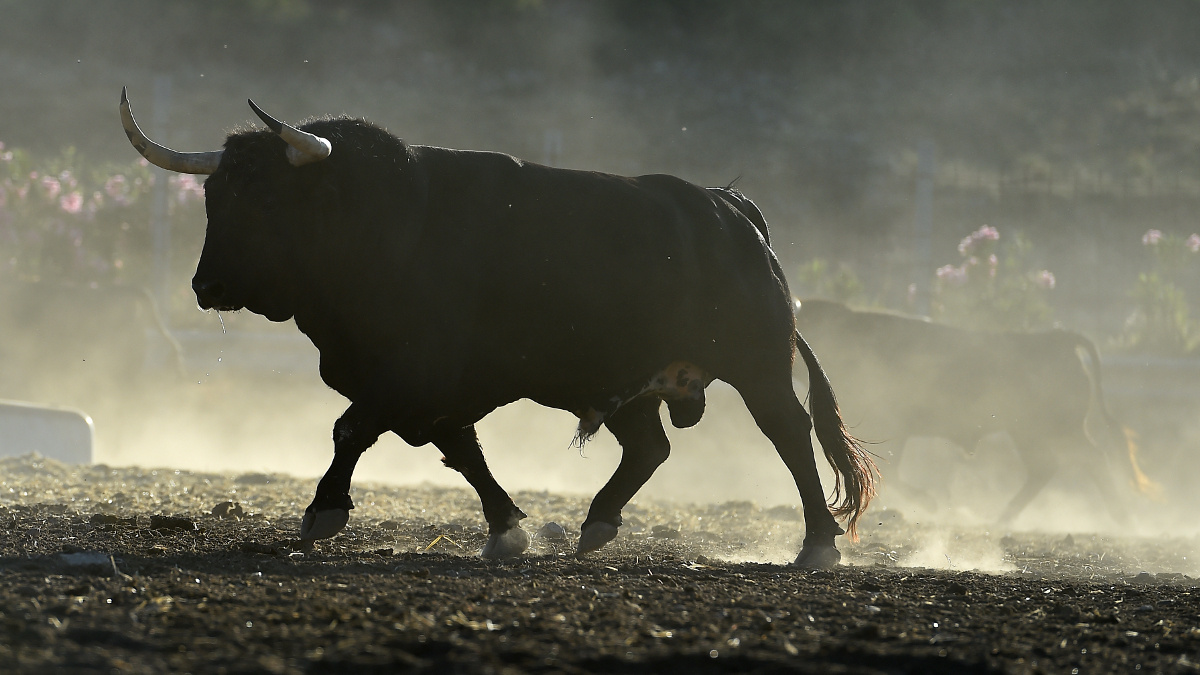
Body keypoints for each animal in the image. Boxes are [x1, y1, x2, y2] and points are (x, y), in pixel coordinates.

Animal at [119, 88, 873, 562]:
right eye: (214, 194)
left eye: (268, 198)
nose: (206, 287)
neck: (393, 226)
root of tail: (730, 209)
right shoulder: (432, 389)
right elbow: (461, 451)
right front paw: (507, 527)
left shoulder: (411, 371)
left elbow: (351, 429)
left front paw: (324, 509)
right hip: (633, 383)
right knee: (649, 448)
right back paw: (597, 522)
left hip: (758, 366)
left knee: (789, 433)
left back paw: (817, 542)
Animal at [787, 299, 1152, 526]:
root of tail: (1058, 338)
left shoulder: (892, 427)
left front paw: (931, 503)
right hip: (1029, 434)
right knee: (1046, 468)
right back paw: (1003, 518)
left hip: (1057, 431)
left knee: (1090, 459)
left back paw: (1123, 518)